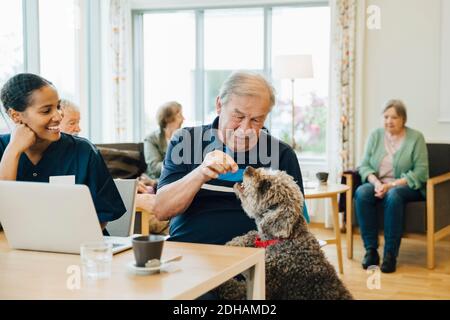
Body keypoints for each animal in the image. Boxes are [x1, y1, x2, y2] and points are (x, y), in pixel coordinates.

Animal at [213, 168, 354, 300]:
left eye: (266, 185)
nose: (248, 168)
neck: (286, 240)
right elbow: (253, 234)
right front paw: (235, 242)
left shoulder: (259, 285)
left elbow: (229, 286)